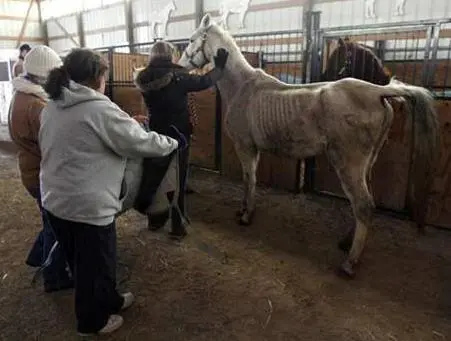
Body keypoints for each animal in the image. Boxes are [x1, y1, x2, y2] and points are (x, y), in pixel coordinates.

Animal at [179, 14, 442, 278]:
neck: (242, 87)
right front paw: (243, 210)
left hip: (349, 164)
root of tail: (378, 92)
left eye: (191, 40)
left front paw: (246, 216)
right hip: (367, 163)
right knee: (365, 204)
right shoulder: (253, 149)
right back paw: (346, 243)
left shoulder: (245, 146)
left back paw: (349, 263)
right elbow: (249, 179)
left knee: (363, 205)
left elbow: (248, 179)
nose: (180, 69)